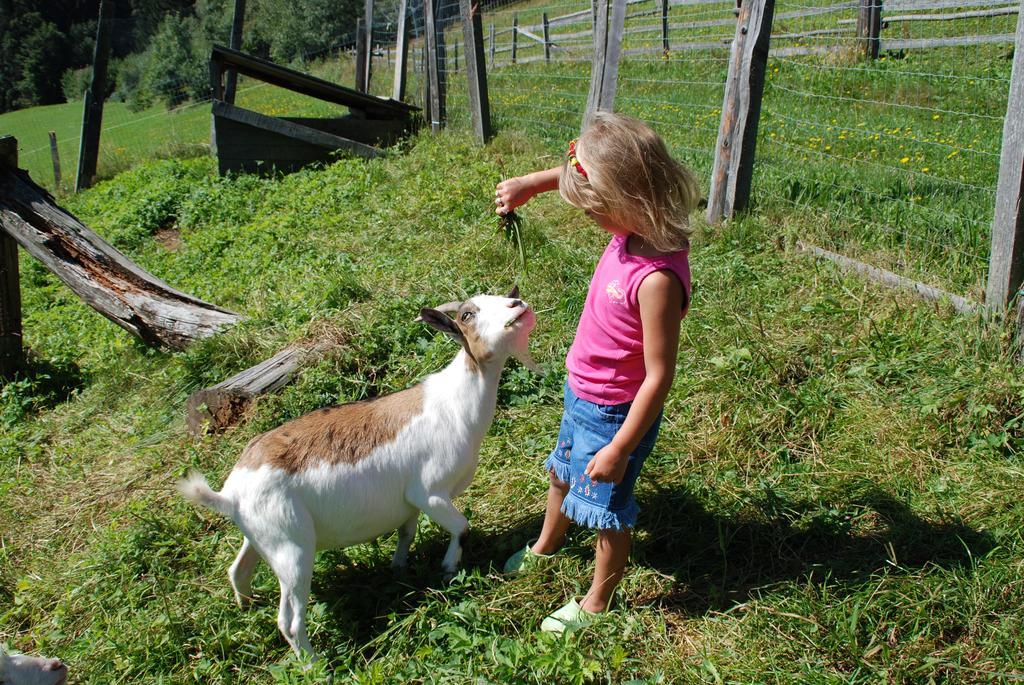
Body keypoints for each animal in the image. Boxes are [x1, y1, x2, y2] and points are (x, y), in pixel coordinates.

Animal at [177, 284, 540, 655]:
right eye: (467, 315)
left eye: (503, 295)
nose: (517, 304)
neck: (453, 404)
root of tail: (230, 494)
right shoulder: (430, 492)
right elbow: (463, 528)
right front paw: (449, 567)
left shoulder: (410, 503)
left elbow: (406, 533)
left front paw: (399, 568)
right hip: (292, 548)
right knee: (289, 620)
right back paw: (313, 662)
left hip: (263, 535)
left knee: (238, 571)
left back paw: (247, 607)